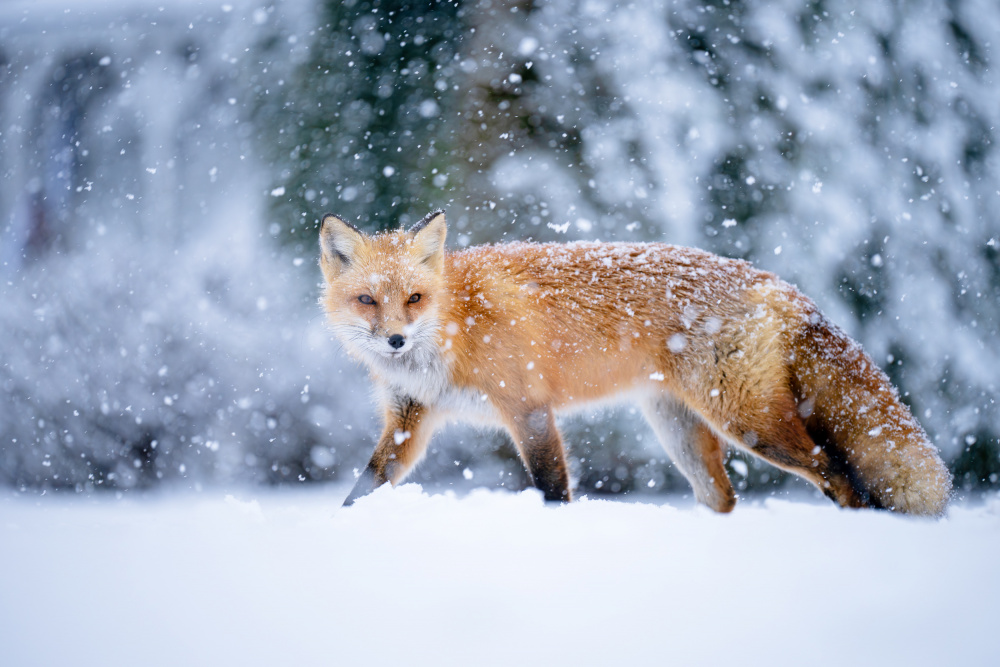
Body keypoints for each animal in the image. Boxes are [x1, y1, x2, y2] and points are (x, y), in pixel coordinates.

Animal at [319, 208, 952, 516]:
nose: (395, 341)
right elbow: (364, 487)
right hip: (680, 430)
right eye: (368, 300)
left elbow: (552, 488)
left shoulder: (528, 408)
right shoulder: (410, 421)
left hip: (750, 424)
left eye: (414, 298)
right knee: (723, 498)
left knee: (838, 474)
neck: (456, 325)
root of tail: (774, 281)